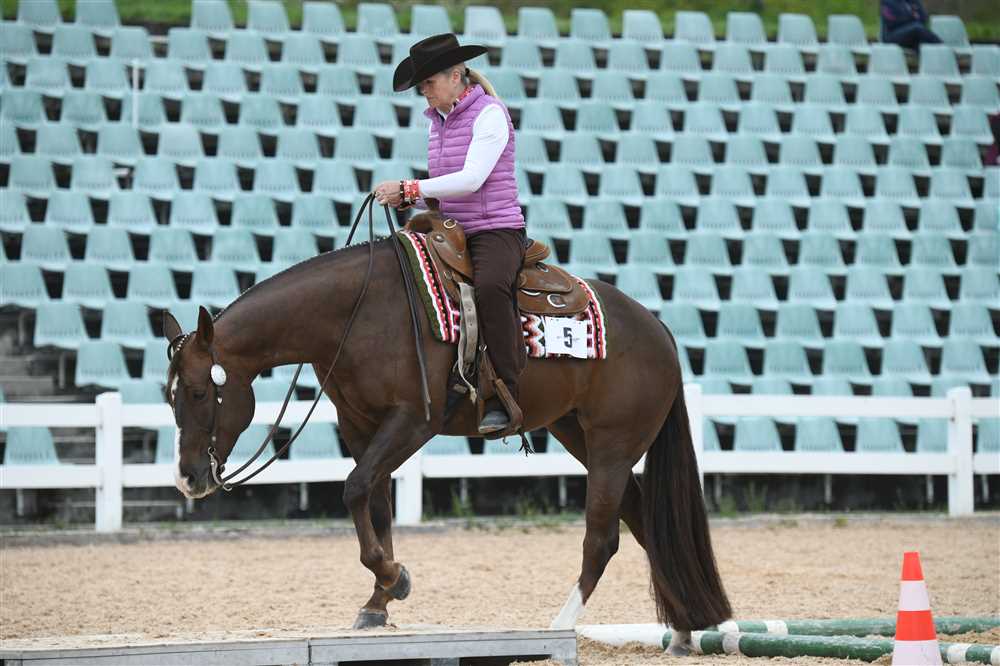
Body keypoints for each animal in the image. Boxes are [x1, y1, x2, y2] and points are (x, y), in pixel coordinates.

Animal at [162, 208, 731, 654]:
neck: (357, 311)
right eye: (169, 396)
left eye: (199, 392)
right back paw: (687, 632)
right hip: (580, 436)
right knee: (643, 522)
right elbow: (375, 505)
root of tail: (658, 330)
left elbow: (353, 489)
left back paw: (560, 626)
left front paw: (394, 579)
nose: (189, 479)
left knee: (603, 537)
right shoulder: (360, 425)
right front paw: (379, 601)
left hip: (613, 444)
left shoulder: (414, 420)